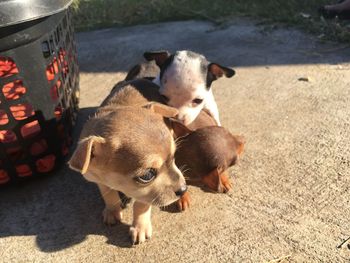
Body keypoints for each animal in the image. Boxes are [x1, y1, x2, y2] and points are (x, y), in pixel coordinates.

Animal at [69, 79, 187, 245]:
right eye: (147, 175)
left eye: (174, 156)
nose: (183, 189)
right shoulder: (98, 179)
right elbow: (108, 194)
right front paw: (112, 210)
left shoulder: (145, 193)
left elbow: (141, 205)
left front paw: (140, 227)